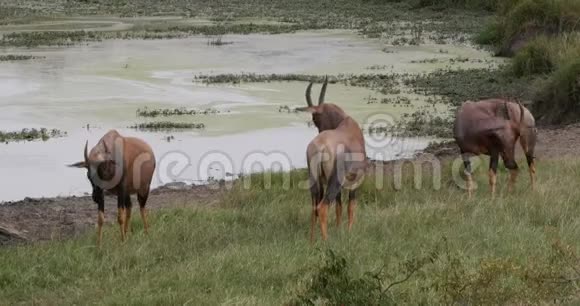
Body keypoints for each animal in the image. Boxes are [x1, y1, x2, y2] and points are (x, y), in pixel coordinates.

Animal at [300, 78, 368, 241]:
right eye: (314, 119)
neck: (347, 125)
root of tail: (320, 146)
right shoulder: (353, 183)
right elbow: (350, 207)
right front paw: (348, 233)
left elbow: (338, 208)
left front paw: (339, 231)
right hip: (334, 181)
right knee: (322, 207)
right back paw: (326, 242)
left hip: (315, 180)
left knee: (314, 206)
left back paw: (312, 241)